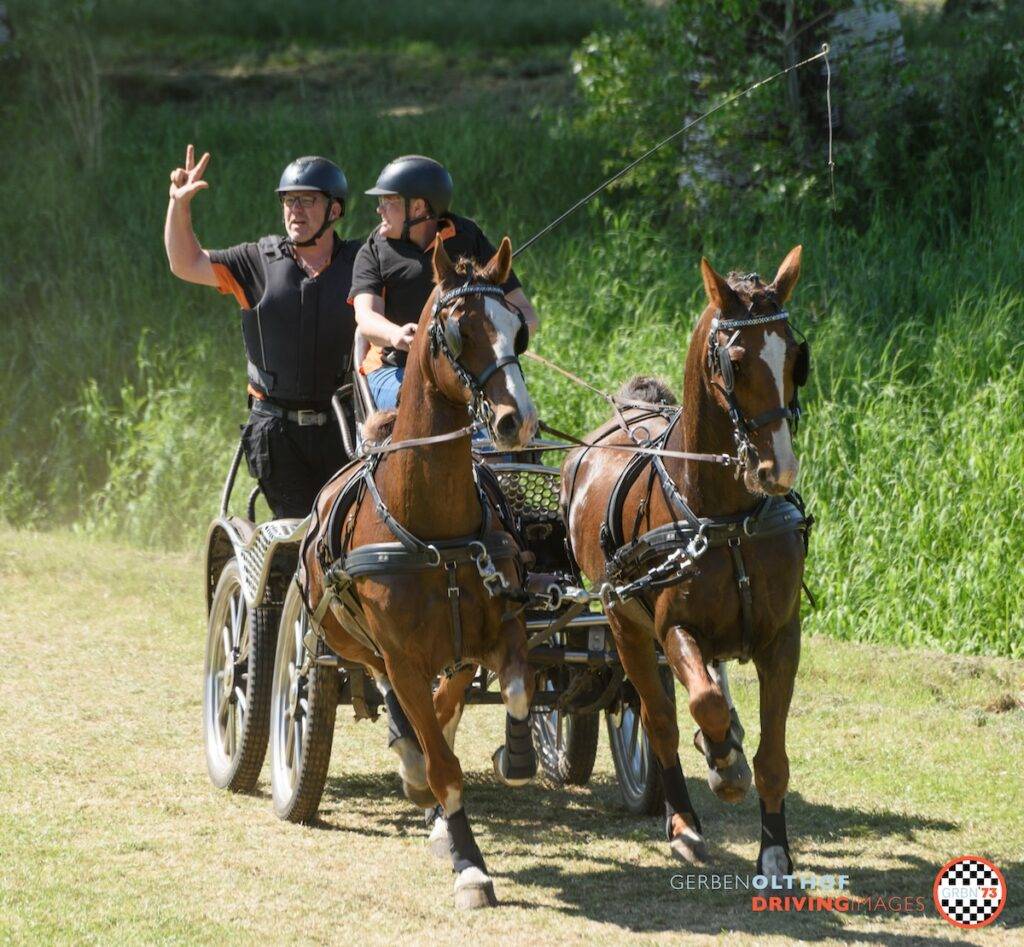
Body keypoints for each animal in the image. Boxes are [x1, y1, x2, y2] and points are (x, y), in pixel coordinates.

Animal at [300, 235, 540, 909]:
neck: (434, 527)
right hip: (352, 640)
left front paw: (516, 758)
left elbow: (510, 691)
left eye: (518, 329)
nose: (515, 419)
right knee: (393, 698)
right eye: (458, 330)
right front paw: (470, 865)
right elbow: (439, 762)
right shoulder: (404, 654)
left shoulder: (495, 632)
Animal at [561, 246, 810, 880]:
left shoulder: (782, 636)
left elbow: (773, 753)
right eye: (736, 362)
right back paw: (684, 820)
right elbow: (700, 704)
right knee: (658, 718)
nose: (777, 469)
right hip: (622, 623)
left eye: (796, 358)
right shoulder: (672, 627)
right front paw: (722, 766)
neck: (727, 519)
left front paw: (774, 848)